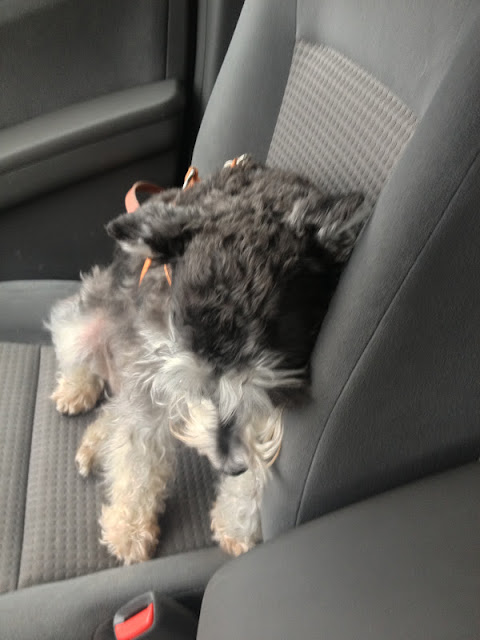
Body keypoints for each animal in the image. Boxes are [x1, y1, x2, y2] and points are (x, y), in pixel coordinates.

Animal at [48, 155, 367, 563]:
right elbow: (138, 453)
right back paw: (77, 392)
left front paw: (236, 524)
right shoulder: (153, 367)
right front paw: (129, 529)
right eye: (200, 386)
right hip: (83, 325)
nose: (230, 465)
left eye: (260, 386)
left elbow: (261, 452)